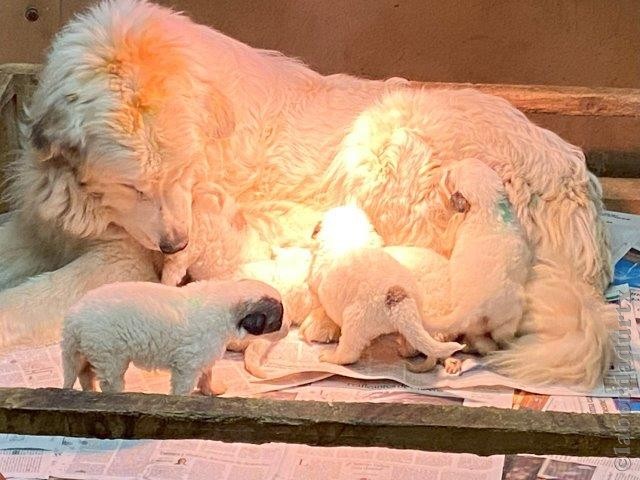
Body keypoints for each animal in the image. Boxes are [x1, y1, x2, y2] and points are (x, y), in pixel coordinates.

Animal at [62, 278, 282, 394]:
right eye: (277, 320)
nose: (284, 325)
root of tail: (74, 316)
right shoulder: (187, 367)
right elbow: (183, 389)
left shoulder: (203, 358)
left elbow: (207, 376)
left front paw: (211, 391)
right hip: (110, 357)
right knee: (107, 382)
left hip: (88, 352)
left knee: (84, 374)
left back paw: (90, 394)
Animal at [308, 206, 462, 368]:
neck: (352, 236)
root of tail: (400, 301)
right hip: (415, 319)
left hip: (355, 322)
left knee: (349, 353)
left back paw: (329, 357)